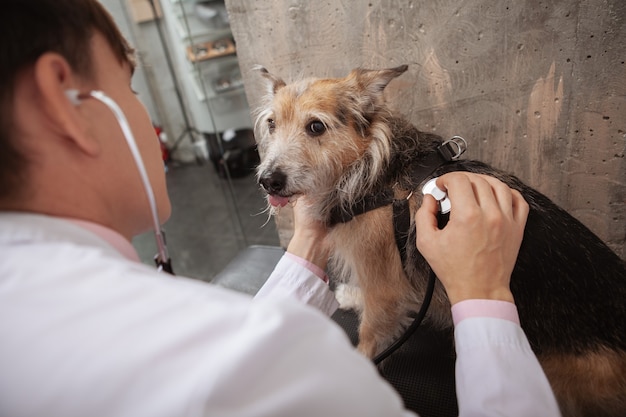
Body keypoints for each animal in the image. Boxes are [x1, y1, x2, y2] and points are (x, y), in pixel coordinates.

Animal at [254, 65, 624, 416]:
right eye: (272, 124)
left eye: (316, 127)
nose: (268, 180)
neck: (370, 169)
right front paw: (350, 296)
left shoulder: (383, 283)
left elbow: (371, 331)